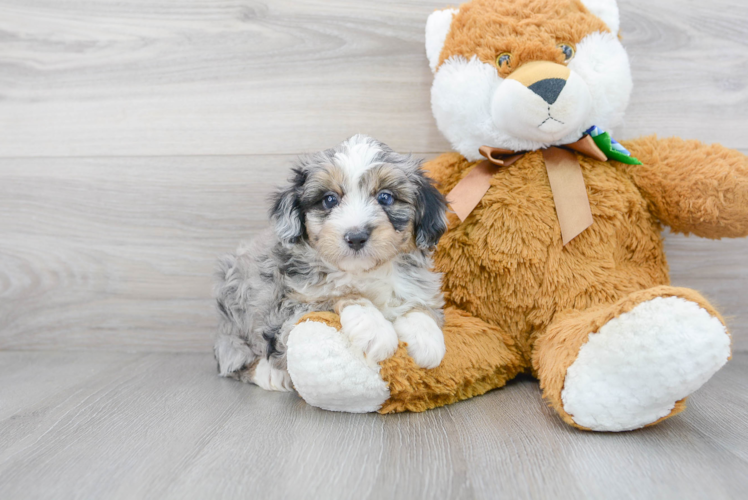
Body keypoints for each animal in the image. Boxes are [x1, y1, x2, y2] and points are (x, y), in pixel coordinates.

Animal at [215, 135, 450, 392]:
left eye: (385, 197)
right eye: (329, 200)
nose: (356, 236)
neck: (364, 271)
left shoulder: (417, 285)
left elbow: (419, 305)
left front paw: (427, 339)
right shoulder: (286, 308)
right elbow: (340, 295)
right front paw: (375, 329)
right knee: (232, 357)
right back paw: (269, 374)